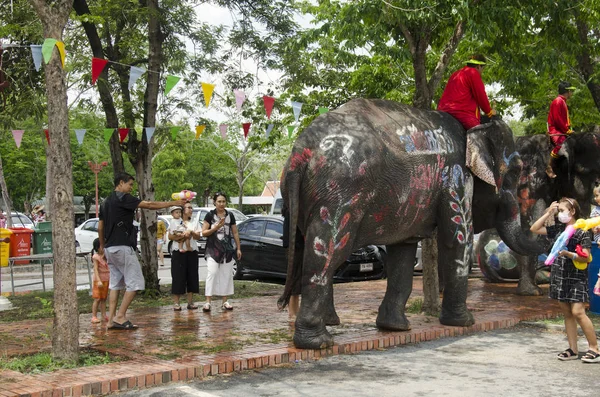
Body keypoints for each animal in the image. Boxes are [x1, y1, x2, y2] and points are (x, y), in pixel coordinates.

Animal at [276, 98, 544, 346]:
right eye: (514, 172)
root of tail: (301, 153)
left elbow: (403, 251)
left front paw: (395, 328)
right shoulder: (456, 176)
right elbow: (458, 239)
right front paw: (464, 322)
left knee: (309, 248)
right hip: (340, 194)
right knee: (327, 253)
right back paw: (319, 342)